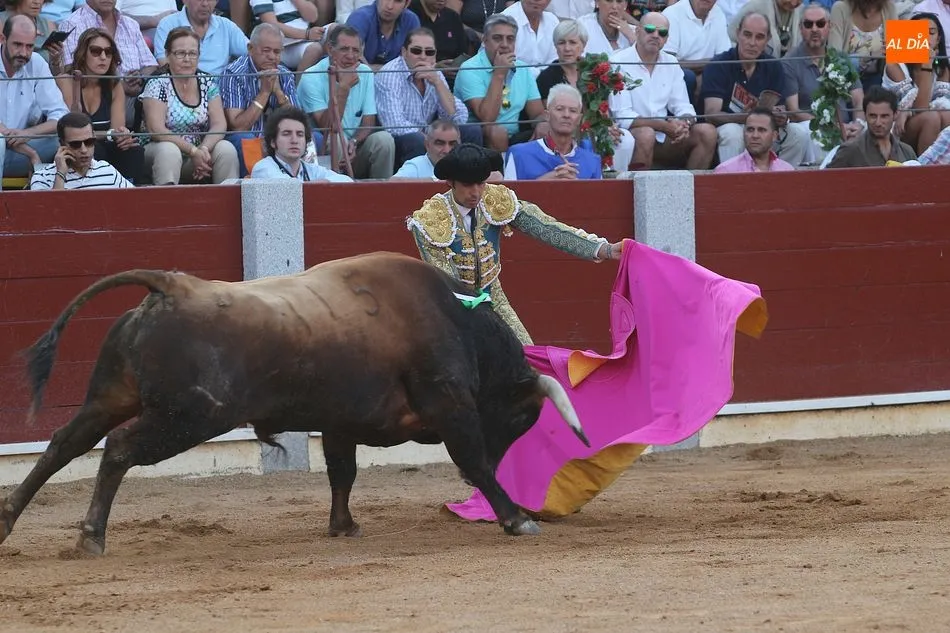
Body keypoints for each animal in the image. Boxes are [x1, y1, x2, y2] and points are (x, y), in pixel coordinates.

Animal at [0, 252, 589, 555]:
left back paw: (8, 520)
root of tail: (170, 286)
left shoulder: (341, 420)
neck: (456, 321)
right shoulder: (451, 406)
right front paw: (516, 520)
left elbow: (341, 471)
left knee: (63, 444)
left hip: (111, 395)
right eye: (521, 417)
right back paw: (90, 536)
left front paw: (343, 526)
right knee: (118, 449)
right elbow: (472, 458)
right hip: (190, 417)